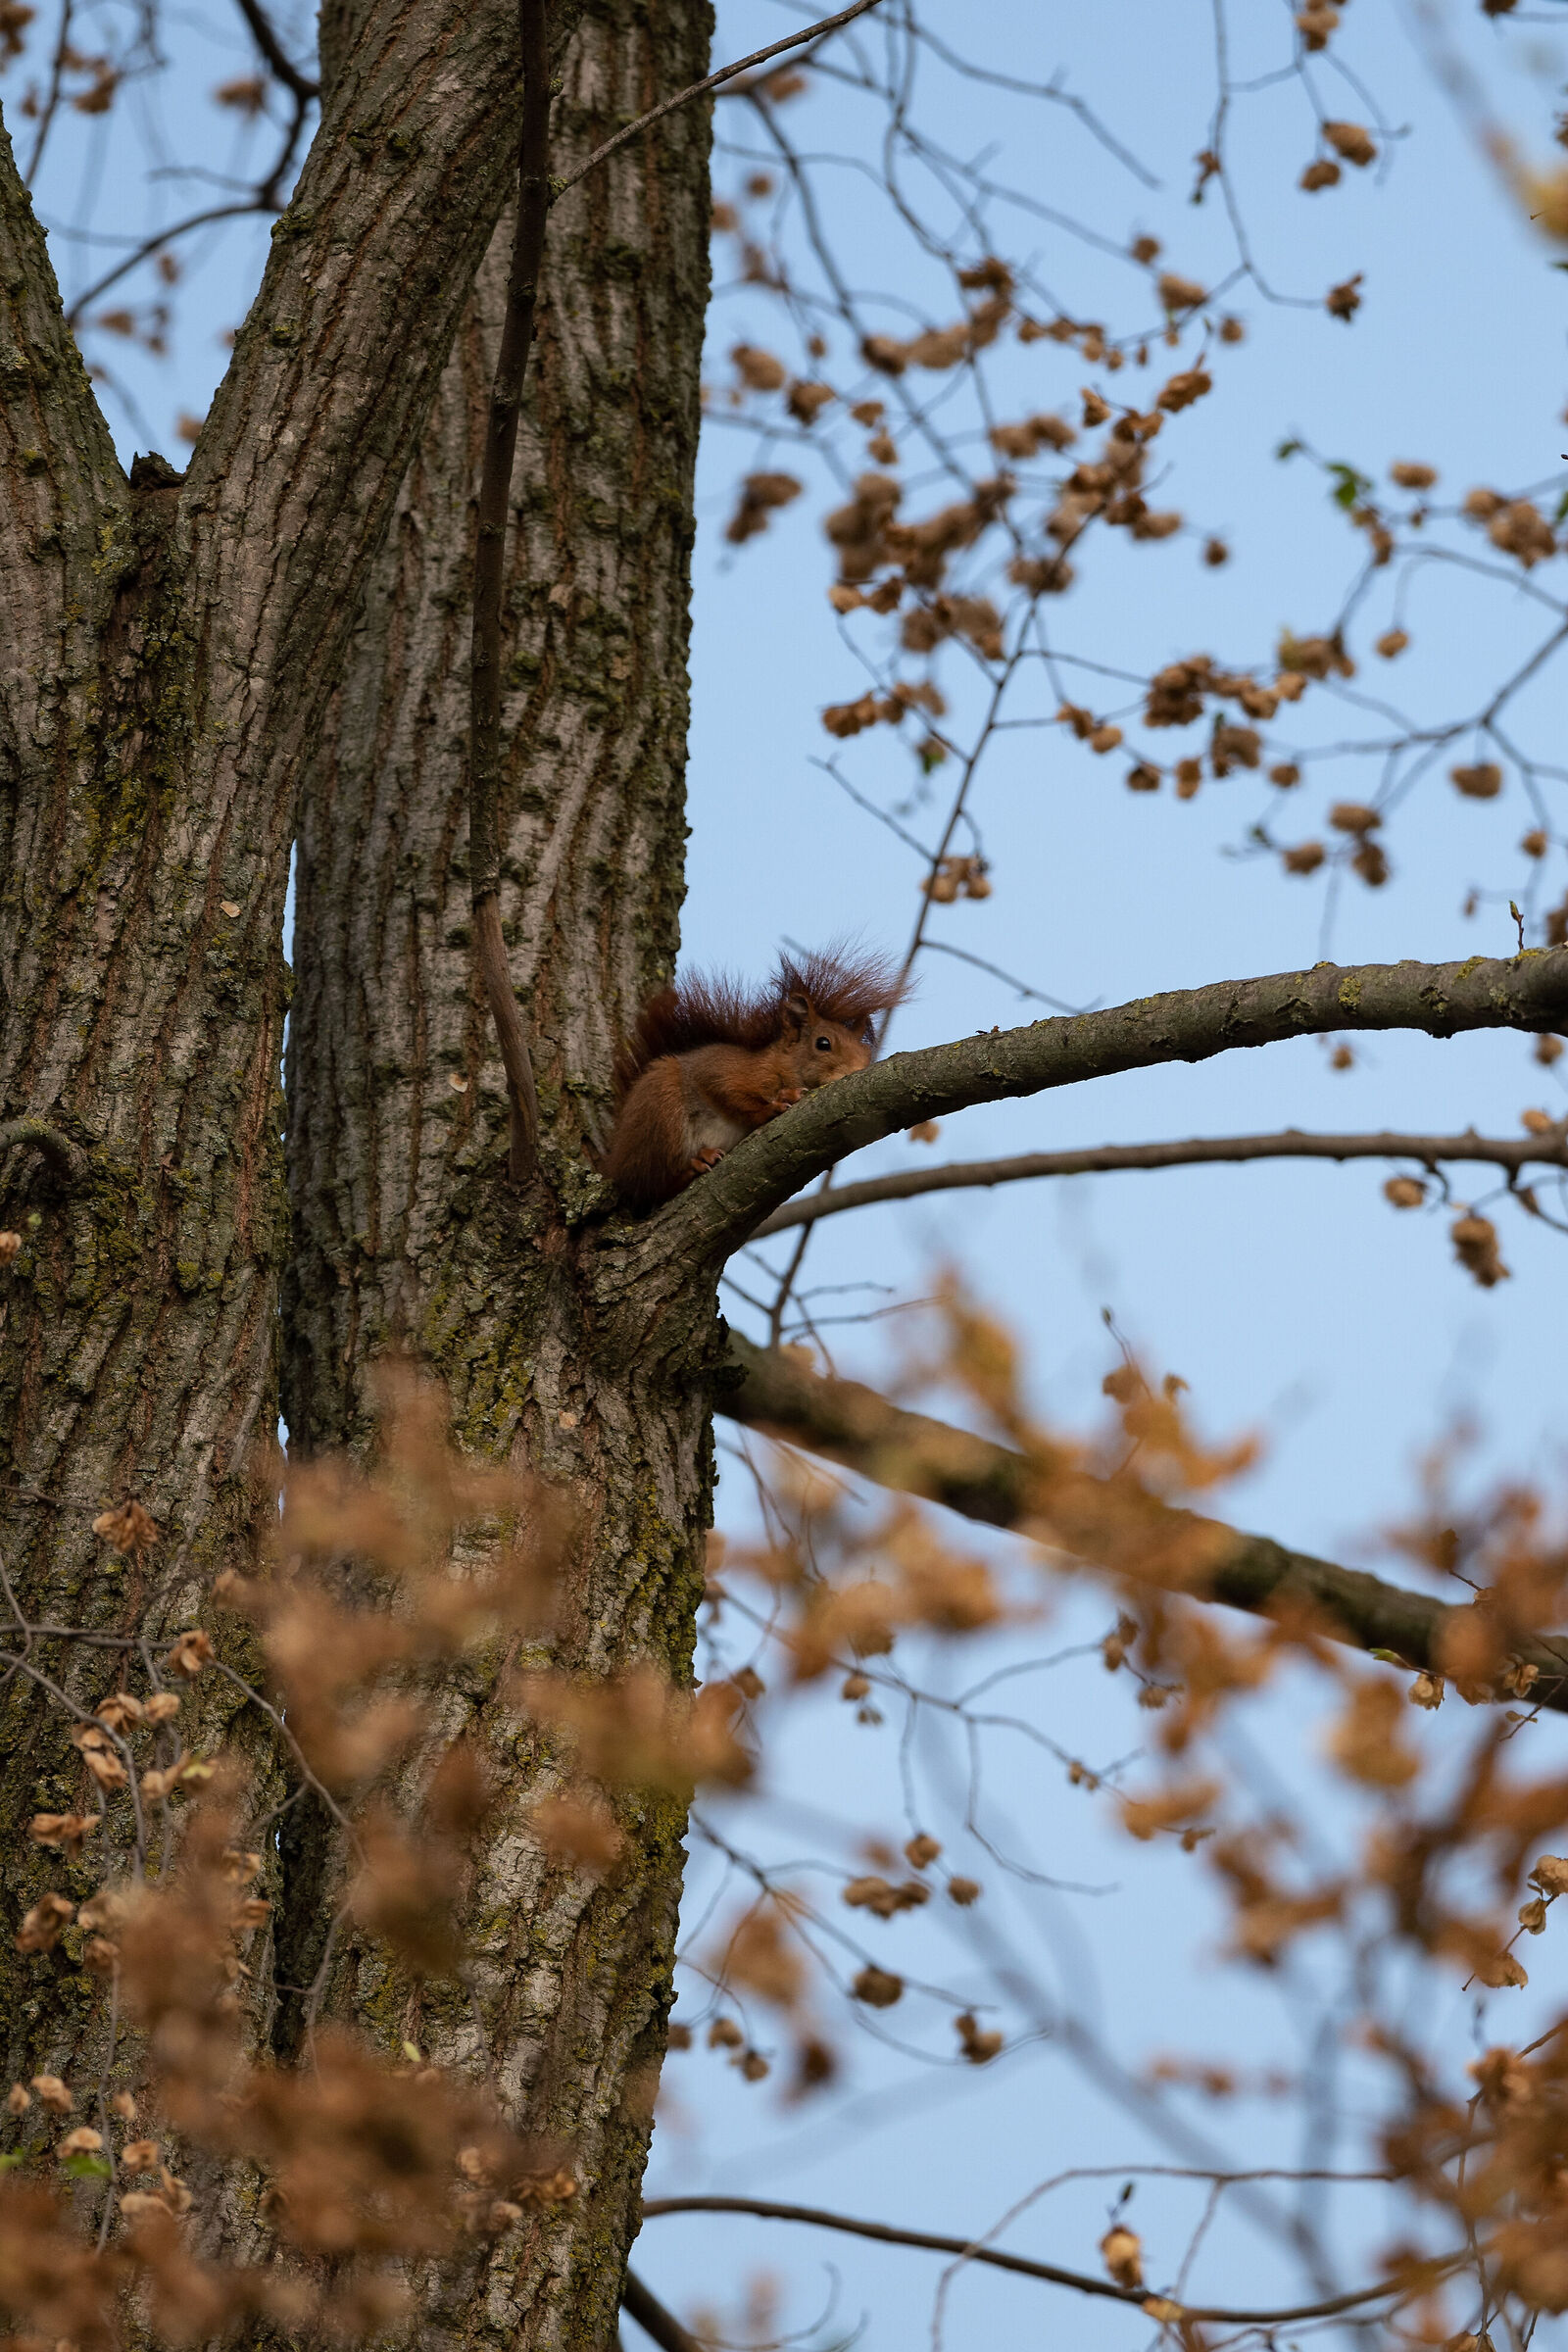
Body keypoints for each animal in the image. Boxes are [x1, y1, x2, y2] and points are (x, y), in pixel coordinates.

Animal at [603, 947, 905, 1209]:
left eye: (867, 1053)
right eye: (823, 1044)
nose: (858, 1070)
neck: (781, 1066)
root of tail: (617, 1155)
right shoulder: (723, 1072)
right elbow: (732, 1095)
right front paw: (776, 1104)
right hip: (662, 1114)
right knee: (649, 1185)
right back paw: (694, 1166)